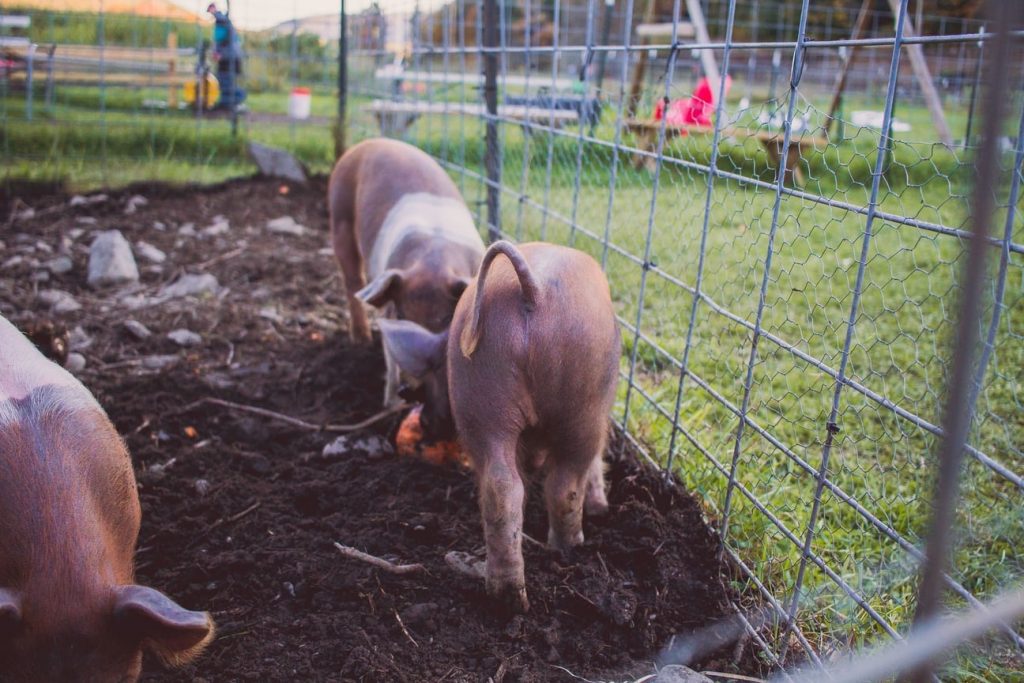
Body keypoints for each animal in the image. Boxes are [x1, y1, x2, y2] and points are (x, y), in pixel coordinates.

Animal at [328, 138, 485, 424]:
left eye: (446, 319)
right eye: (400, 315)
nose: (411, 389)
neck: (434, 260)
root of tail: (367, 143)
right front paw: (391, 405)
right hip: (340, 217)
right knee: (352, 282)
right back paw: (361, 339)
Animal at [379, 241, 621, 612]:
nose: (424, 422)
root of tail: (533, 291)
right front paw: (600, 508)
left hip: (482, 391)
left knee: (502, 488)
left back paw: (507, 596)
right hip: (585, 405)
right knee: (565, 484)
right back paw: (570, 547)